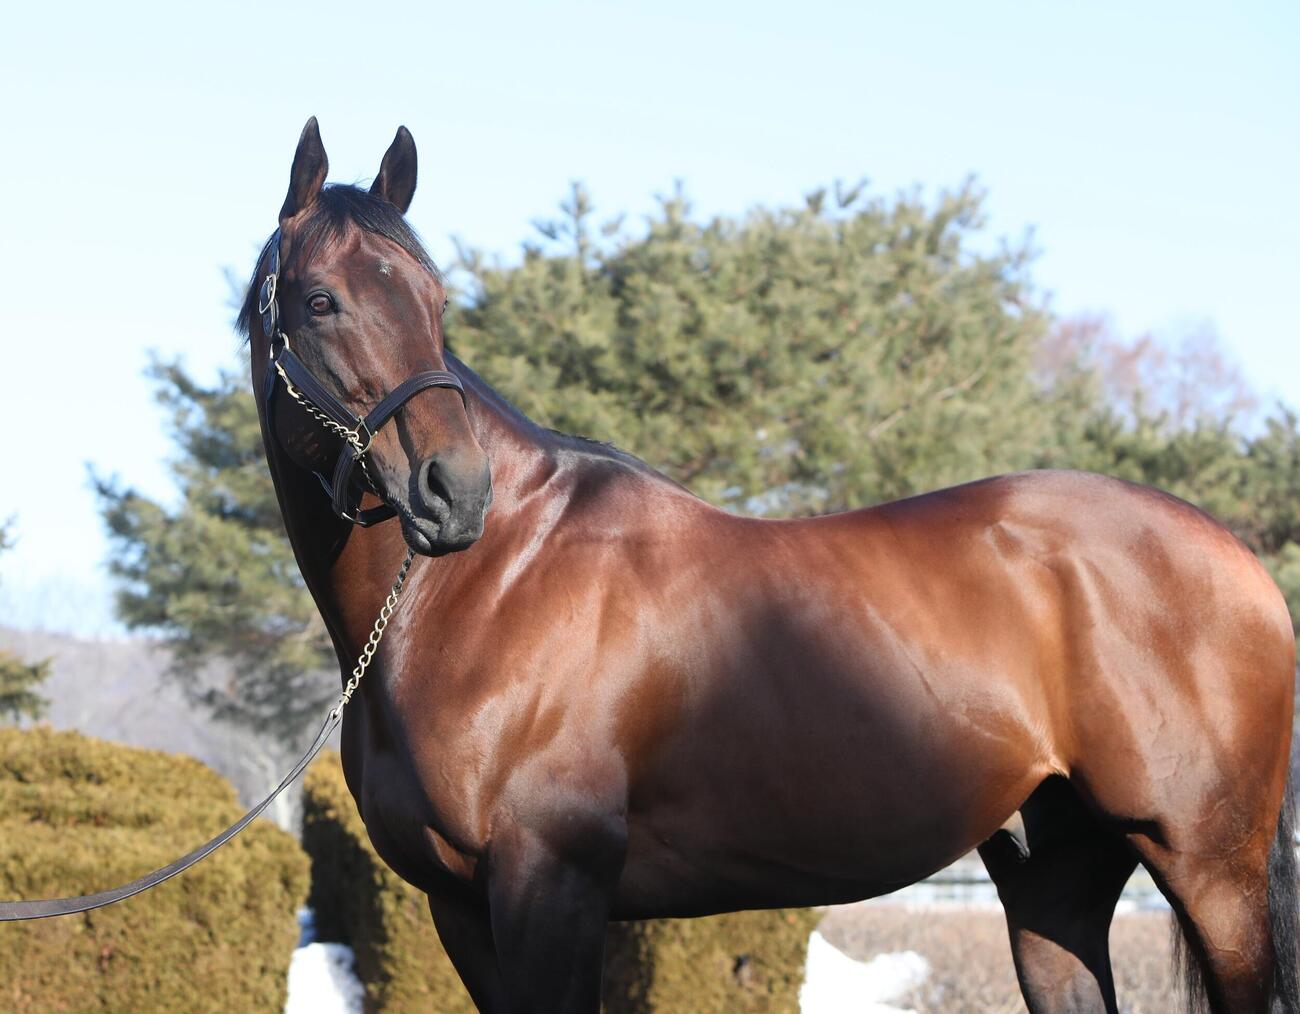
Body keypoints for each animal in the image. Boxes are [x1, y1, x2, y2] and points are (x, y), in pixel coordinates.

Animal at [241, 118, 1298, 1013]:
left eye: (435, 302)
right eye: (322, 301)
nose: (454, 491)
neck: (486, 586)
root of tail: (1237, 561)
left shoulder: (551, 887)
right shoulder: (461, 910)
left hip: (1211, 870)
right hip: (1055, 881)